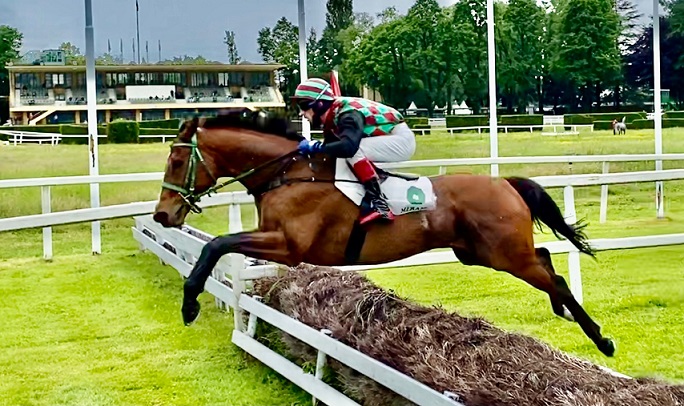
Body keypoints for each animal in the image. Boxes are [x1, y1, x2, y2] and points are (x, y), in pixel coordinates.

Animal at [152, 109, 616, 356]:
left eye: (176, 161)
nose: (162, 215)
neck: (289, 173)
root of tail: (504, 182)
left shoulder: (289, 245)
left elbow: (216, 245)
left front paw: (189, 304)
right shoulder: (277, 242)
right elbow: (222, 249)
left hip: (503, 254)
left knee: (554, 276)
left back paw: (601, 339)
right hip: (481, 253)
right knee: (545, 258)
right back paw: (563, 310)